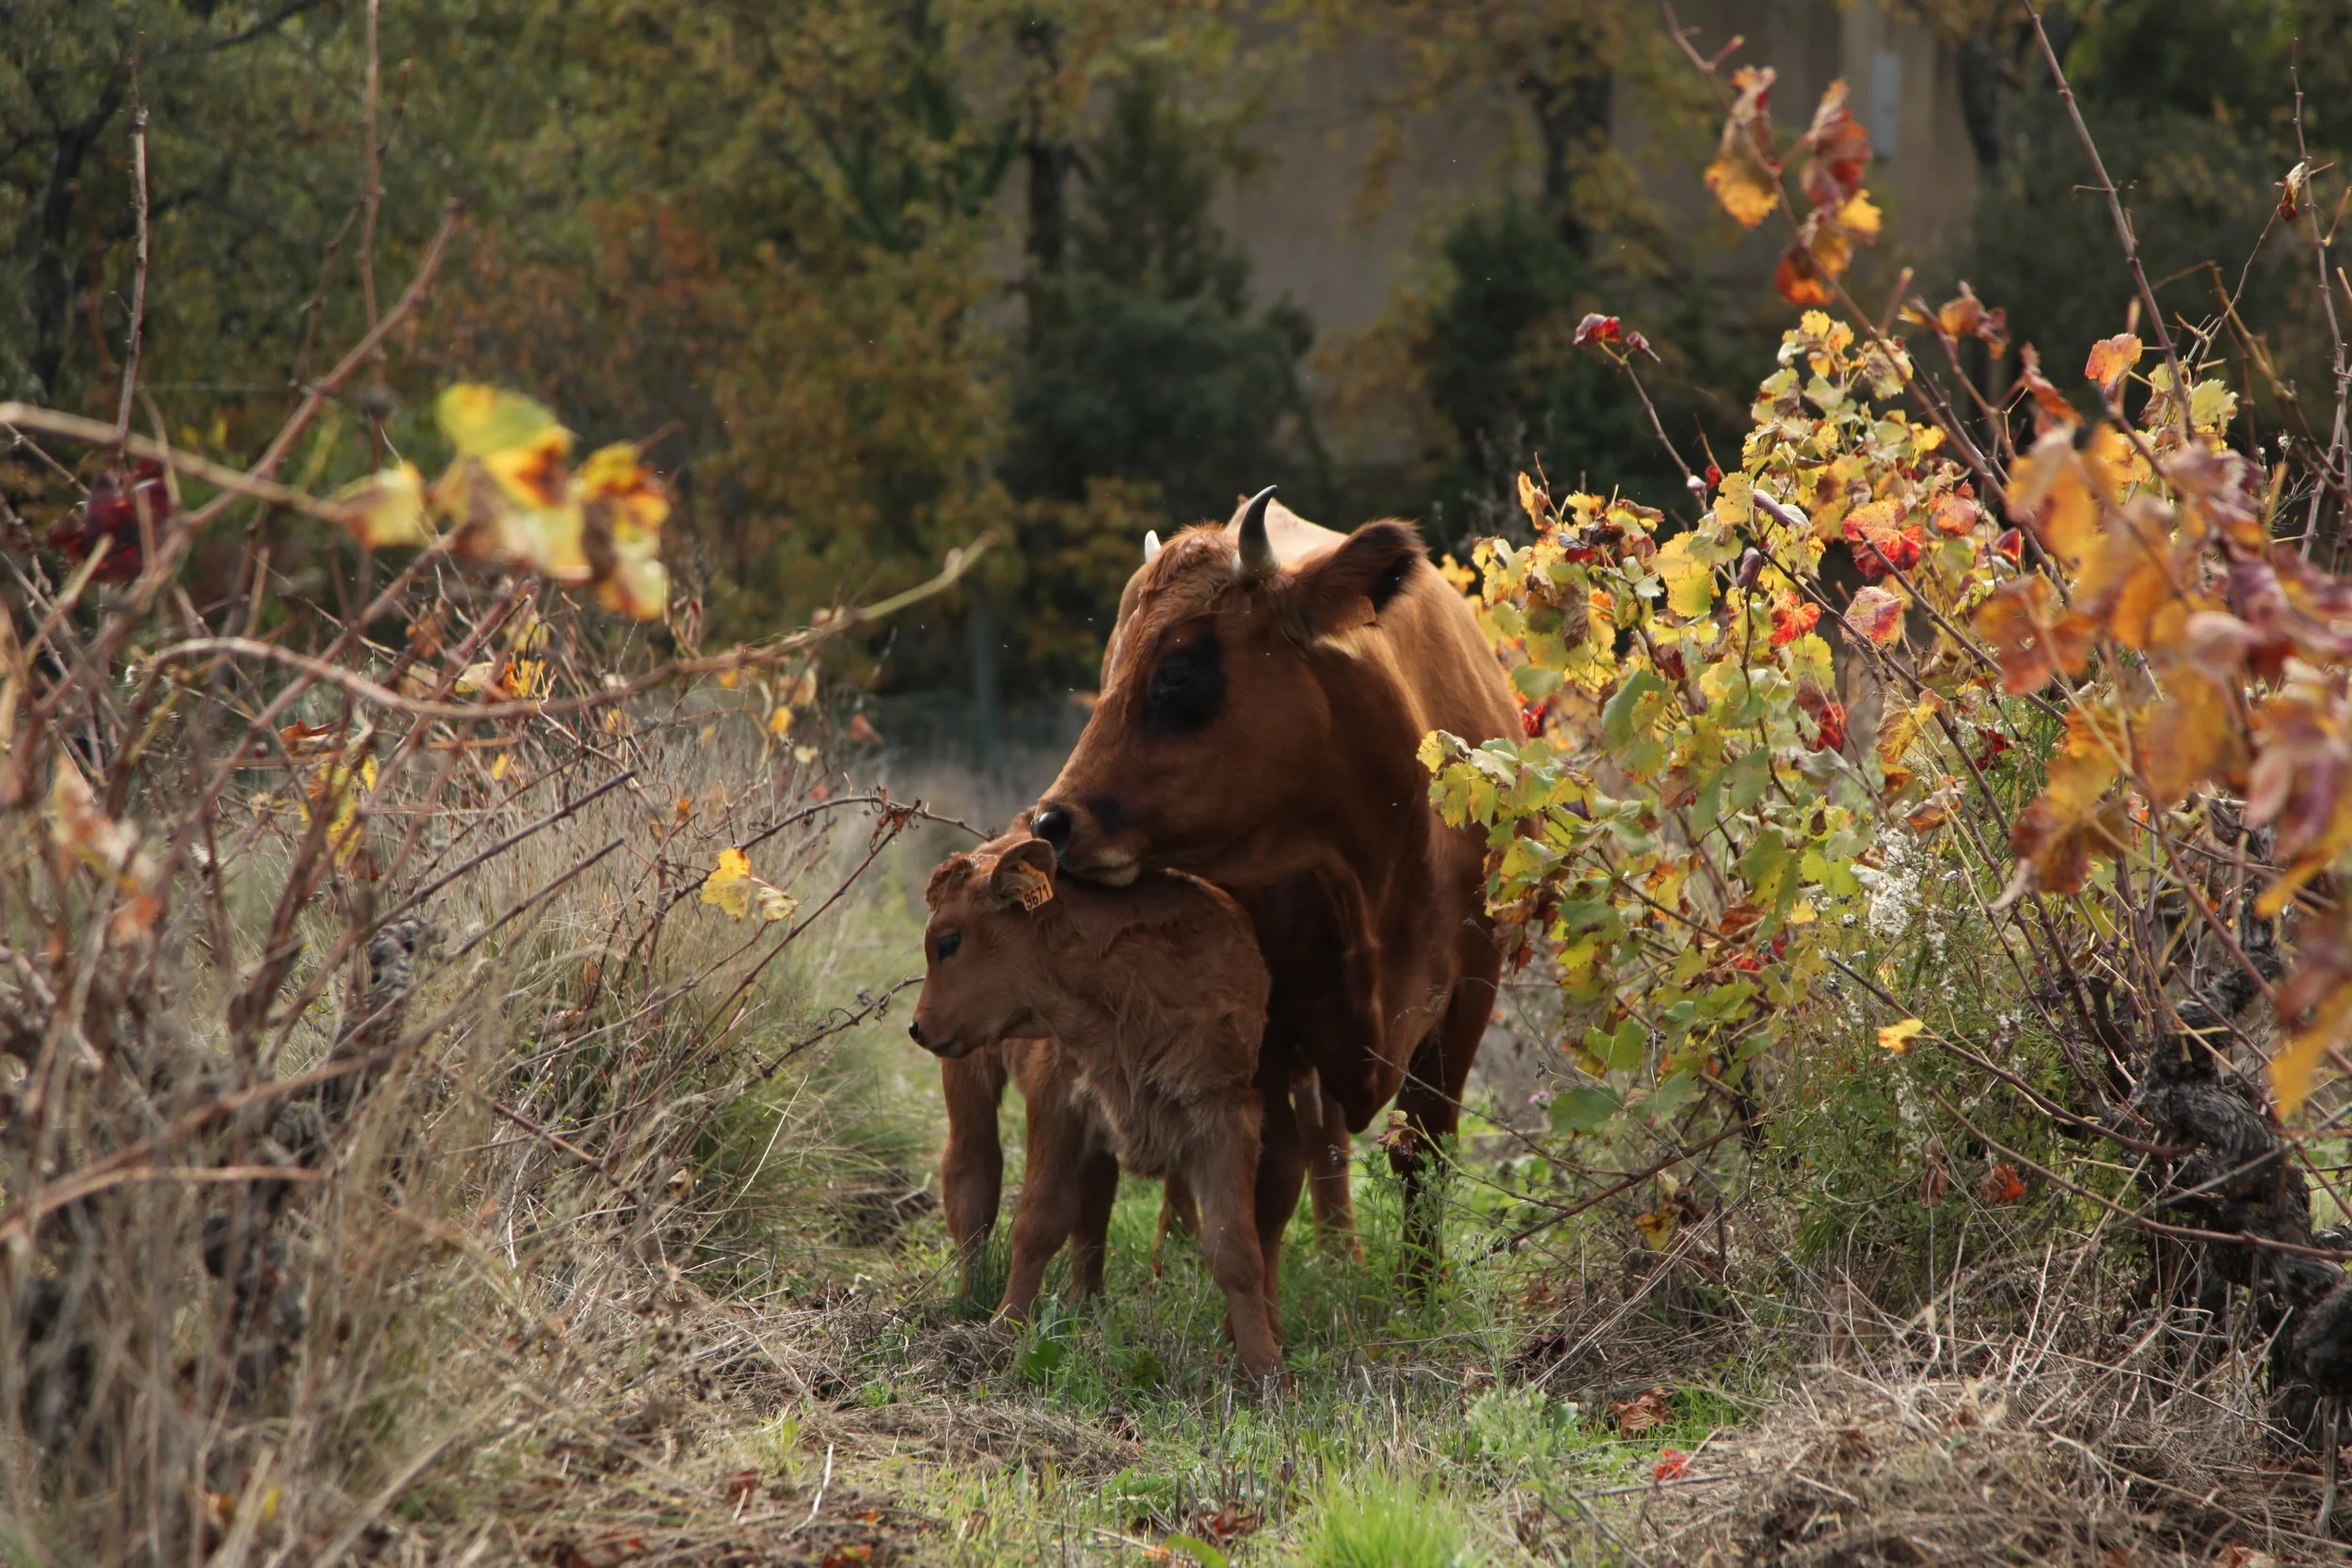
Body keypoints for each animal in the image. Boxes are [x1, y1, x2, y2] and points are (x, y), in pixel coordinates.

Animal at [909, 833, 1284, 1383]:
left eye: (949, 941)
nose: (917, 1027)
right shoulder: (1057, 1102)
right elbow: (1037, 1223)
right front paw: (1003, 1332)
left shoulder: (1226, 1115)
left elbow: (1235, 1245)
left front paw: (1264, 1368)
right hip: (967, 1072)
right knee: (971, 1179)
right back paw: (968, 1299)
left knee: (1092, 1210)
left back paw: (1088, 1307)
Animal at [1030, 487, 1517, 1276]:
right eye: (1111, 672)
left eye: (1178, 671)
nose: (1052, 822)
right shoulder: (1262, 1016)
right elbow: (1263, 1172)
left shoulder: (1471, 991)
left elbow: (1424, 1155)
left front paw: (1419, 1287)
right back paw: (1179, 1245)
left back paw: (1341, 1249)